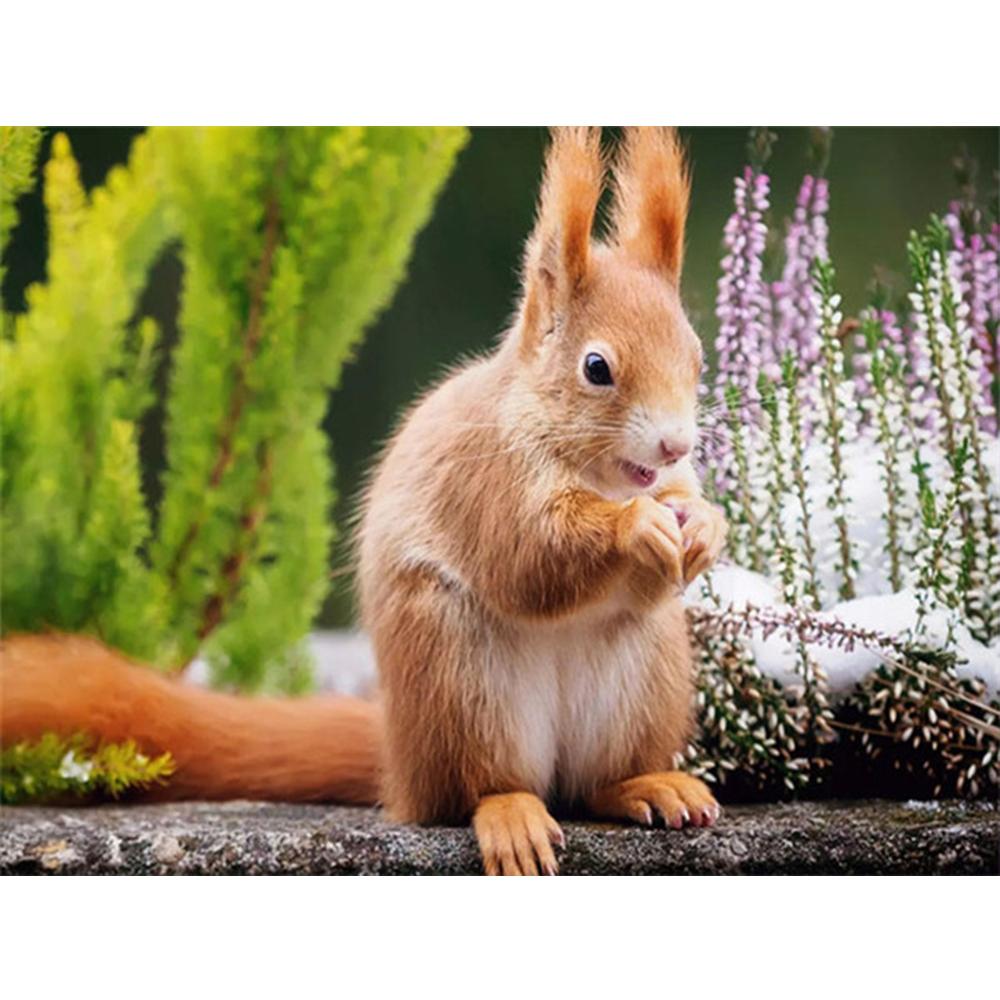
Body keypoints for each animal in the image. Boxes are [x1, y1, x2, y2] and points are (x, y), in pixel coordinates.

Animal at [0, 126, 727, 875]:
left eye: (697, 357)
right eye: (597, 369)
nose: (674, 443)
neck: (598, 471)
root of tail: (398, 764)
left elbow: (673, 520)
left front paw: (704, 527)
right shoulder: (488, 482)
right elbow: (530, 556)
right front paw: (635, 526)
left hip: (647, 678)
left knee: (593, 783)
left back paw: (647, 785)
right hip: (455, 678)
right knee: (479, 788)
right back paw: (512, 815)